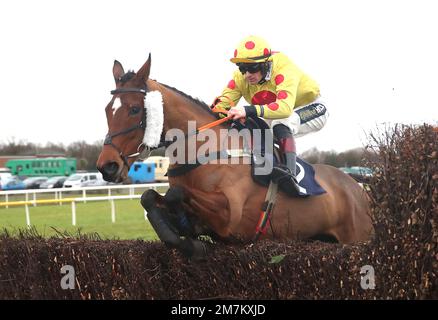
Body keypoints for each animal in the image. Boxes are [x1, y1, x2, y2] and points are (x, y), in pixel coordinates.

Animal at [96, 55, 372, 258]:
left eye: (134, 109)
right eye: (108, 110)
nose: (107, 166)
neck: (204, 151)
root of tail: (357, 186)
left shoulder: (231, 216)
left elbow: (176, 193)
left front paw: (191, 243)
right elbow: (149, 197)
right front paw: (185, 235)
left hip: (357, 235)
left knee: (285, 123)